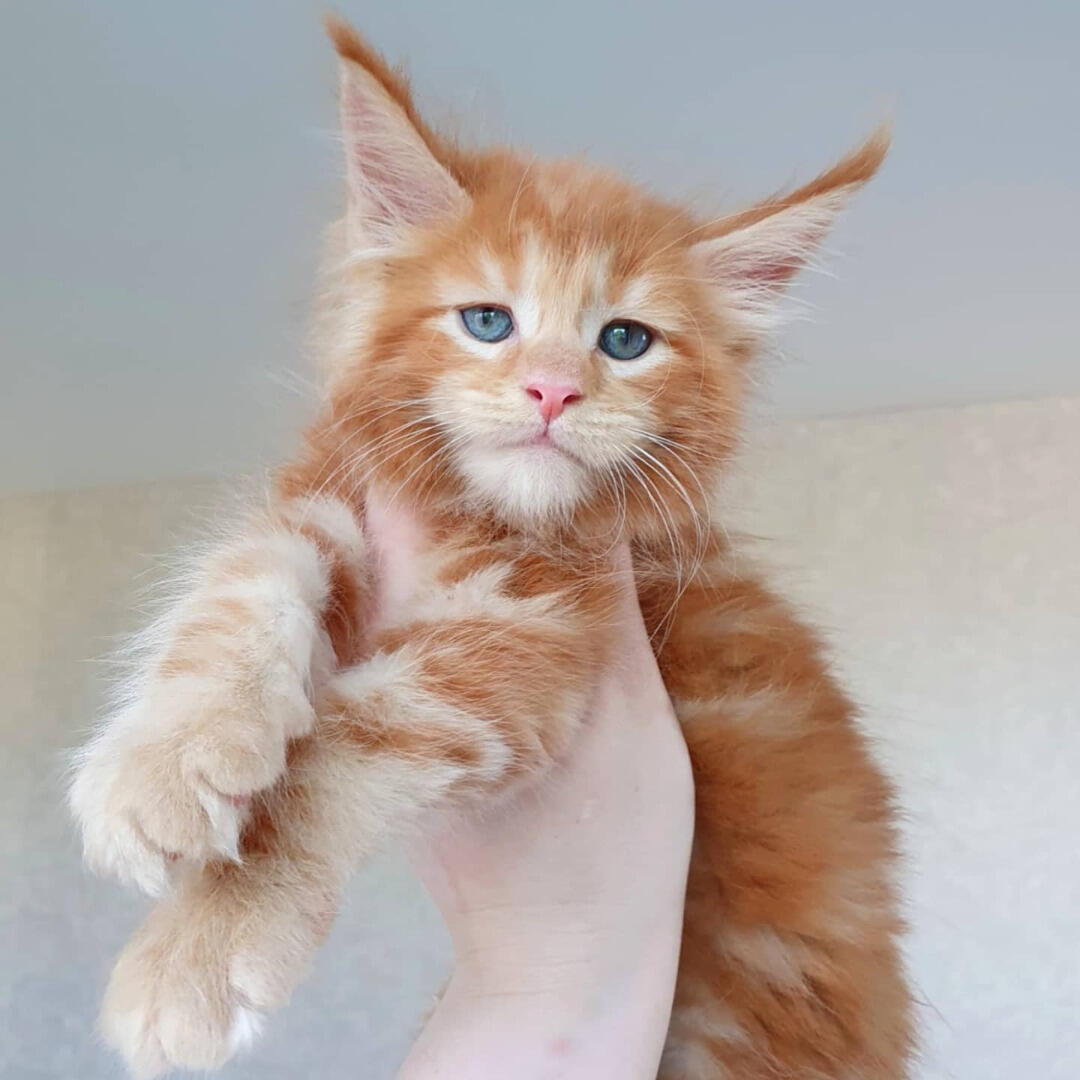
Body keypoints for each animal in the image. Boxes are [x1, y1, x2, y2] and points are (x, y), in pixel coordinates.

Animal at [67, 19, 911, 1080]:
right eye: (487, 321)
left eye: (625, 340)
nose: (552, 390)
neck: (477, 514)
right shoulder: (331, 498)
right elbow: (237, 586)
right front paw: (162, 762)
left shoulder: (531, 639)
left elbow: (347, 748)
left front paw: (201, 951)